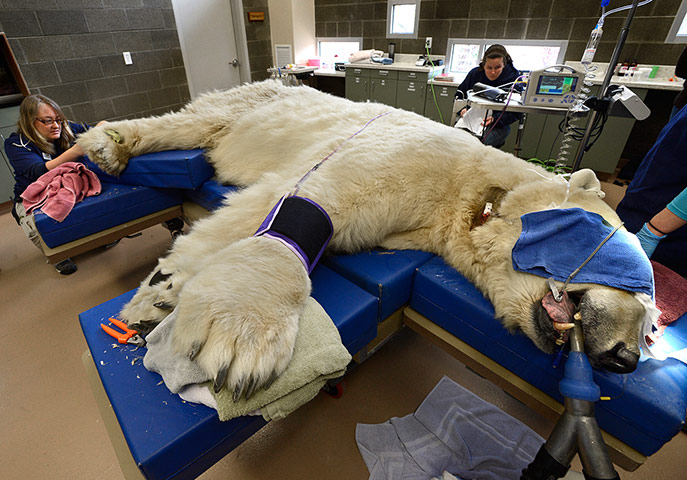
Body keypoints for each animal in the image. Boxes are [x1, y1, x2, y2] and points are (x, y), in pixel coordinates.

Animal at [78, 80, 652, 401]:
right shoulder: (412, 159)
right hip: (258, 101)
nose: (623, 359)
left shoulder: (415, 224)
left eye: (649, 330)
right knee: (192, 121)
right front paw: (222, 326)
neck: (473, 190)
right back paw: (107, 144)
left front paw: (161, 297)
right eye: (639, 281)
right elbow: (307, 200)